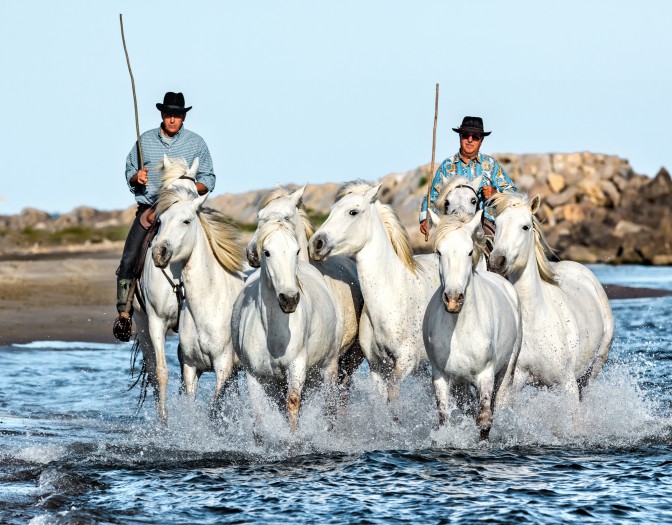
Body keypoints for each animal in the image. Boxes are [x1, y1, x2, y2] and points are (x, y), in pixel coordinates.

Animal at [152, 182, 247, 416]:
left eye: (186, 221)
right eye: (160, 221)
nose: (159, 253)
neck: (209, 304)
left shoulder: (223, 366)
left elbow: (214, 411)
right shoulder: (191, 367)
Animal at [232, 218, 344, 434]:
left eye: (296, 251)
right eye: (267, 252)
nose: (289, 299)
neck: (274, 337)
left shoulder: (297, 366)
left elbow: (292, 403)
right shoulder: (255, 376)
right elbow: (258, 416)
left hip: (327, 366)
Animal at [308, 180, 438, 402]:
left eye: (353, 212)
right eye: (331, 211)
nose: (316, 243)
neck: (392, 298)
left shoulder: (406, 361)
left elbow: (393, 395)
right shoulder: (377, 367)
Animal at [422, 211, 524, 436]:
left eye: (469, 252)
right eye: (439, 252)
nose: (453, 299)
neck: (459, 328)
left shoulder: (485, 375)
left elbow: (484, 419)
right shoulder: (441, 377)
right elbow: (444, 421)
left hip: (507, 369)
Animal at [488, 194, 616, 400]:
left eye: (525, 227)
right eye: (497, 224)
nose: (496, 261)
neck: (535, 320)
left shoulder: (567, 384)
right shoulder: (512, 383)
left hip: (595, 365)